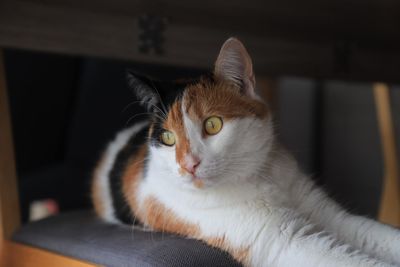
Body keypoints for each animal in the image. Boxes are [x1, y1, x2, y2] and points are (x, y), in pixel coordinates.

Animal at [91, 38, 400, 267]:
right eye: (168, 138)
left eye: (213, 124)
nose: (188, 164)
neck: (258, 178)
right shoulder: (283, 239)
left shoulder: (331, 216)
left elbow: (374, 234)